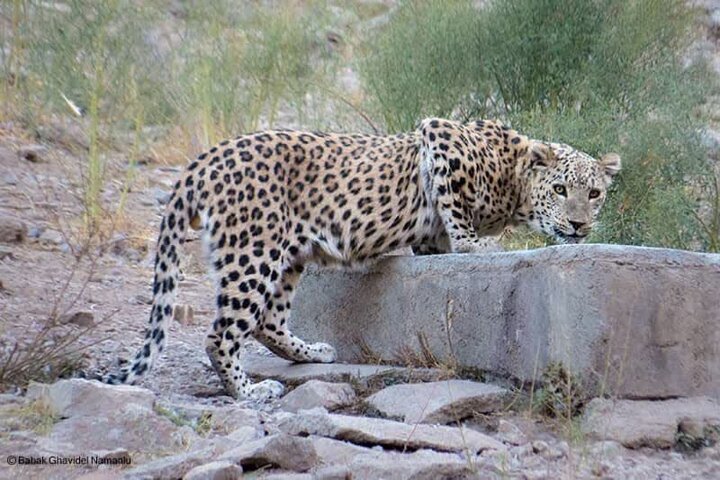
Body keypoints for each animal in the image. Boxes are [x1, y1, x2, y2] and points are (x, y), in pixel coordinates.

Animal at [101, 117, 620, 402]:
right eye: (560, 189)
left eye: (593, 194)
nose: (578, 226)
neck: (514, 185)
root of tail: (204, 160)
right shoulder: (439, 136)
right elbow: (456, 213)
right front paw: (479, 246)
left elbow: (437, 239)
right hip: (254, 250)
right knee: (221, 334)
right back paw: (251, 391)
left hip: (287, 256)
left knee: (267, 322)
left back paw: (313, 352)